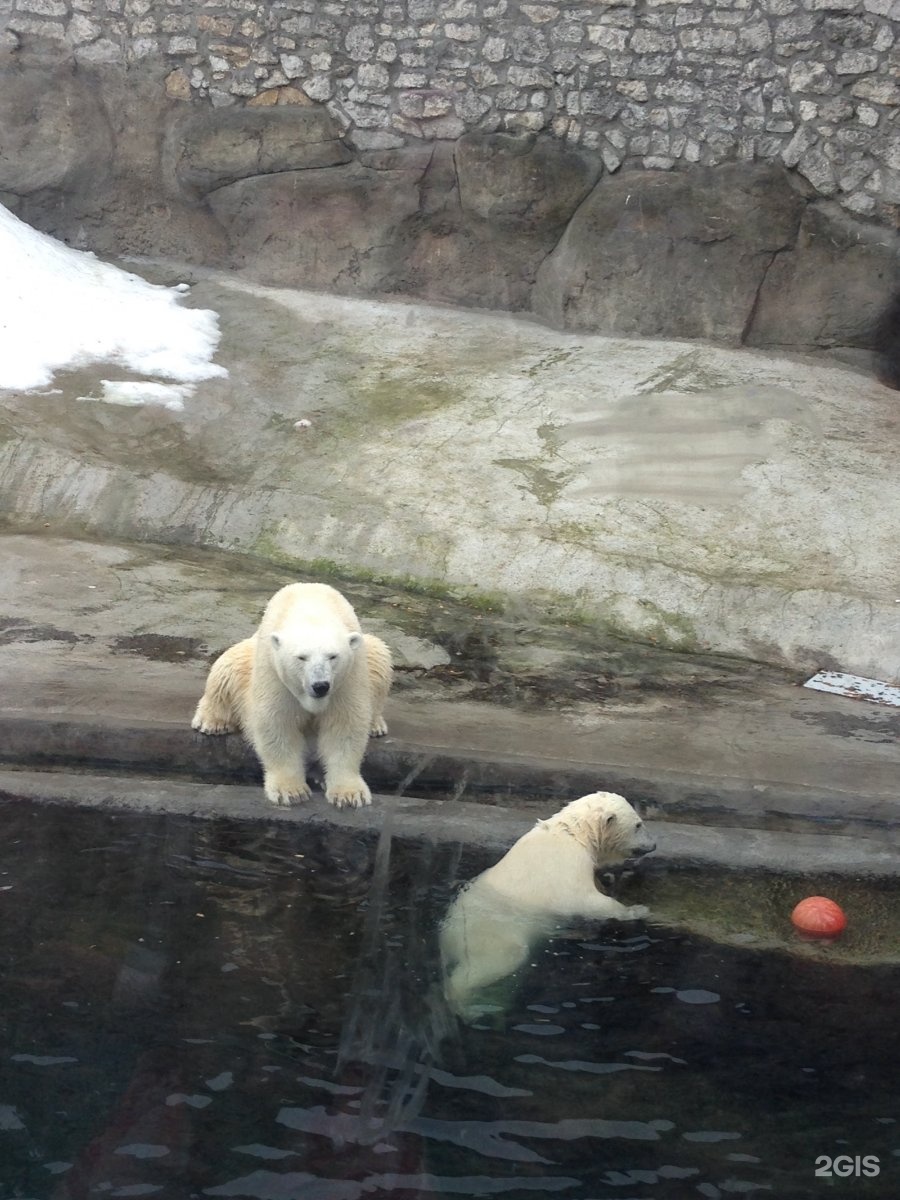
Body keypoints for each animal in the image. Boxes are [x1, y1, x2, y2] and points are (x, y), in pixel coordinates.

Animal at [192, 585, 393, 811]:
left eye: (333, 656)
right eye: (301, 657)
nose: (320, 686)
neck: (311, 609)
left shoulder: (349, 676)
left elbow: (345, 725)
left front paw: (349, 795)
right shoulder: (273, 670)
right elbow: (277, 723)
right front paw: (291, 791)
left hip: (370, 655)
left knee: (380, 657)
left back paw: (375, 726)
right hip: (246, 659)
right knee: (227, 666)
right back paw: (212, 722)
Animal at [441, 792, 657, 1017]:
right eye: (638, 824)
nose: (653, 845)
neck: (574, 834)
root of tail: (446, 938)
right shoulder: (567, 864)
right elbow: (585, 900)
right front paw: (637, 910)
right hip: (490, 937)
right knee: (498, 961)